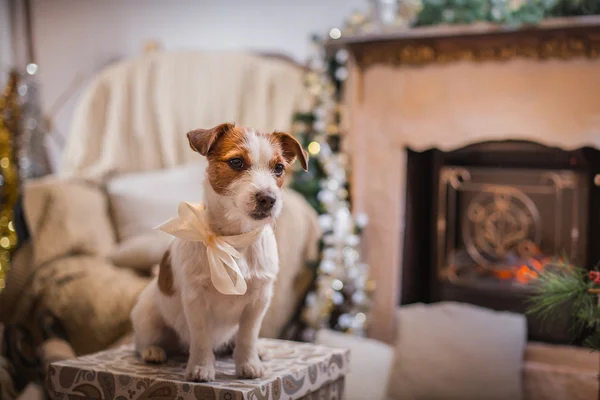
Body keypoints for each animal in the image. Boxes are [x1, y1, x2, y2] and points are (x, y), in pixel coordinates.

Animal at [132, 123, 310, 382]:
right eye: (236, 162)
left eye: (278, 168)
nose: (268, 199)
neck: (234, 239)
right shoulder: (196, 301)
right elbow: (201, 339)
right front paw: (201, 367)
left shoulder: (258, 301)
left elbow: (248, 336)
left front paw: (248, 363)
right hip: (147, 315)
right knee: (144, 341)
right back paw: (153, 351)